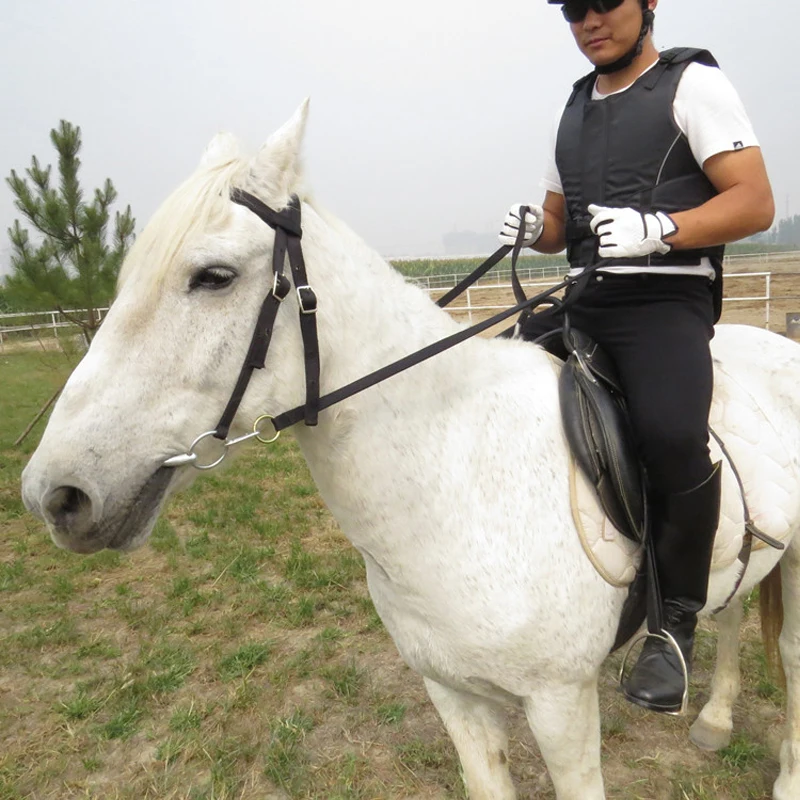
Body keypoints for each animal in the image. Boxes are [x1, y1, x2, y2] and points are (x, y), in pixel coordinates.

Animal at [20, 103, 800, 796]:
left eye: (212, 276)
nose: (55, 494)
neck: (457, 482)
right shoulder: (454, 695)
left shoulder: (560, 703)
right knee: (731, 608)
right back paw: (716, 721)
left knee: (788, 659)